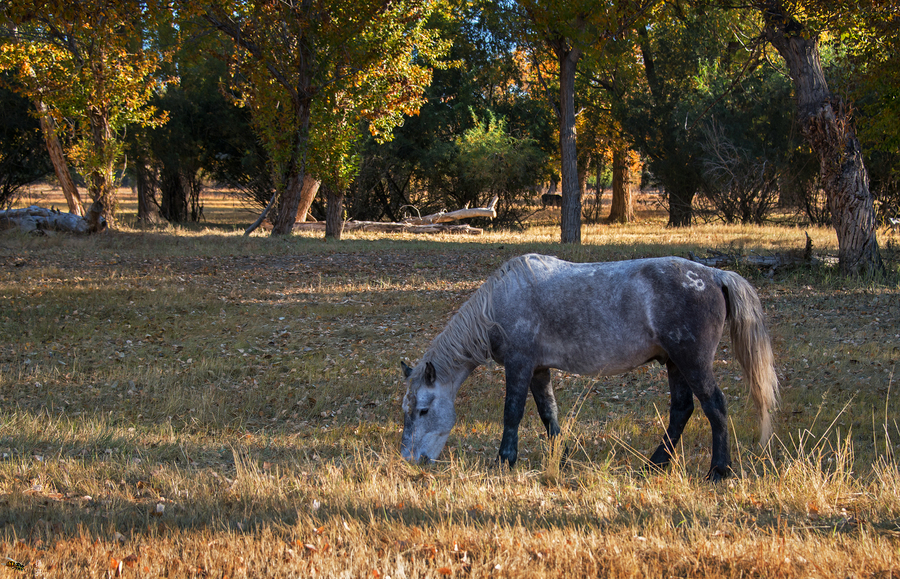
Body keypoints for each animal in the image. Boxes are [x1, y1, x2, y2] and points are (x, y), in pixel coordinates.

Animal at [398, 254, 776, 480]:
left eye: (422, 410)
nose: (409, 459)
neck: (500, 301)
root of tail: (713, 274)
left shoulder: (520, 366)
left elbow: (513, 413)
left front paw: (505, 461)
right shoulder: (539, 369)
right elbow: (548, 414)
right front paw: (561, 459)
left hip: (692, 362)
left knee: (715, 407)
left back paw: (719, 470)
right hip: (675, 364)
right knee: (682, 410)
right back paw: (655, 464)